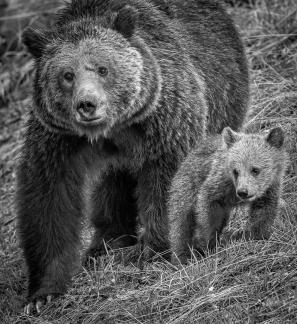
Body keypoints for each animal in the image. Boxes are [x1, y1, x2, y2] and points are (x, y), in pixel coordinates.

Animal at [16, 0, 247, 312]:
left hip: (224, 99)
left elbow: (170, 182)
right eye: (67, 75)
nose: (87, 104)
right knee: (110, 187)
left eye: (103, 69)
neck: (112, 130)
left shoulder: (165, 120)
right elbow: (49, 203)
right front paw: (43, 293)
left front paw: (157, 250)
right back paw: (106, 243)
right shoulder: (57, 141)